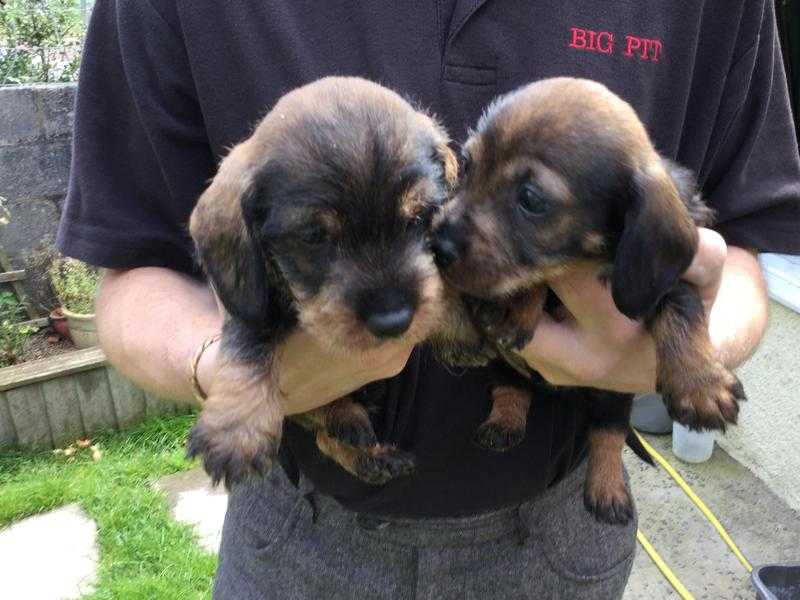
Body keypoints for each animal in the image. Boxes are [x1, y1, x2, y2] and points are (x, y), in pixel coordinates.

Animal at [189, 76, 500, 488]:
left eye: (419, 217)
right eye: (314, 236)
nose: (393, 321)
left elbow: (436, 284)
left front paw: (458, 329)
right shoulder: (251, 304)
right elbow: (247, 345)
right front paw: (235, 431)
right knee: (324, 429)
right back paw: (352, 427)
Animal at [432, 77, 744, 524]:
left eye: (531, 198)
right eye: (468, 165)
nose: (437, 245)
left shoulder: (667, 278)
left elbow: (680, 311)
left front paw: (701, 385)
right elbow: (539, 279)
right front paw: (516, 302)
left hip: (614, 389)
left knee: (608, 431)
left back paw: (607, 487)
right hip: (505, 367)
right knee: (512, 387)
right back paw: (504, 421)